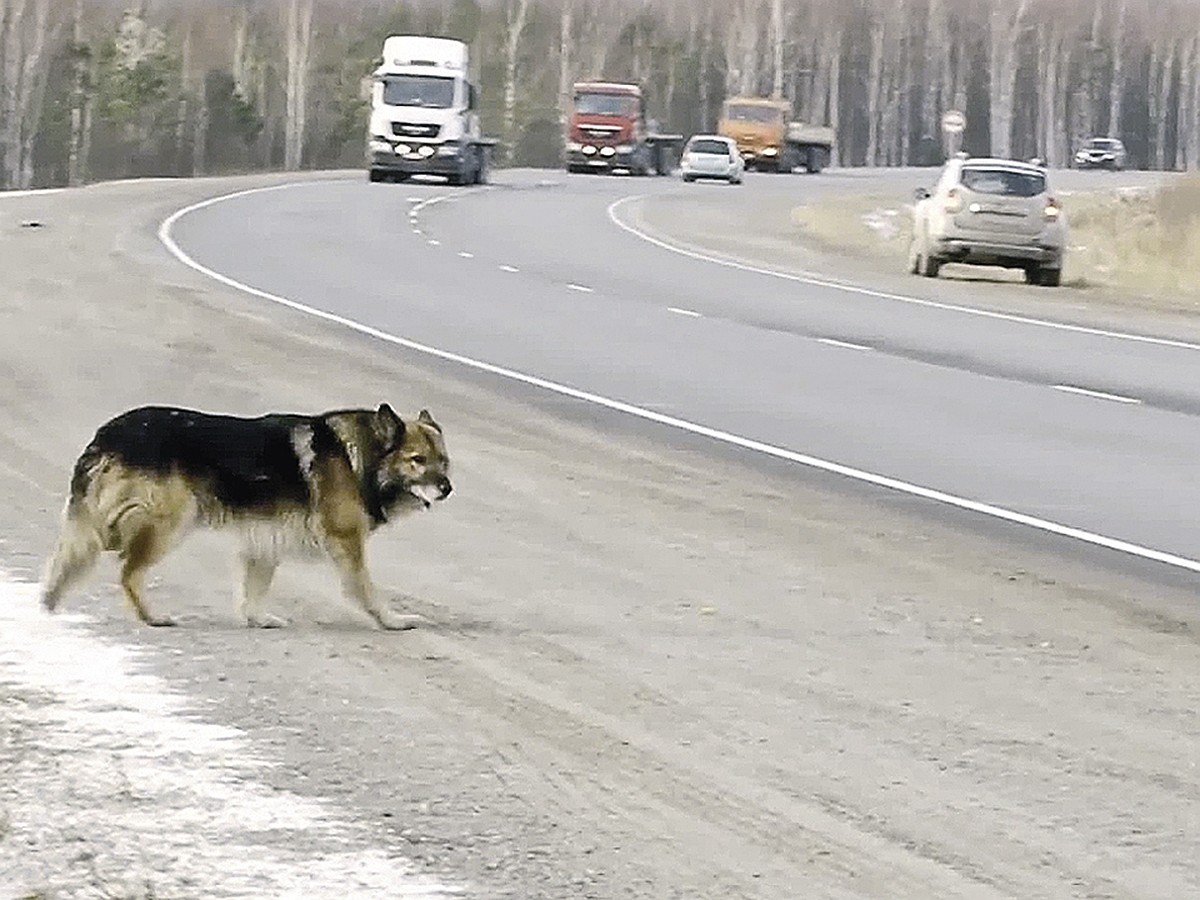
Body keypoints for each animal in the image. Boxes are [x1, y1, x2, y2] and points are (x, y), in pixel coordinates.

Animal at [39, 405, 451, 628]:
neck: (360, 458)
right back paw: (152, 616)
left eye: (443, 461)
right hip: (170, 522)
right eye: (417, 461)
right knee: (128, 571)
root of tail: (106, 435)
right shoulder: (347, 543)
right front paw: (391, 620)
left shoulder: (264, 540)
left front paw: (257, 619)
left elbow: (255, 587)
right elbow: (366, 589)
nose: (447, 488)